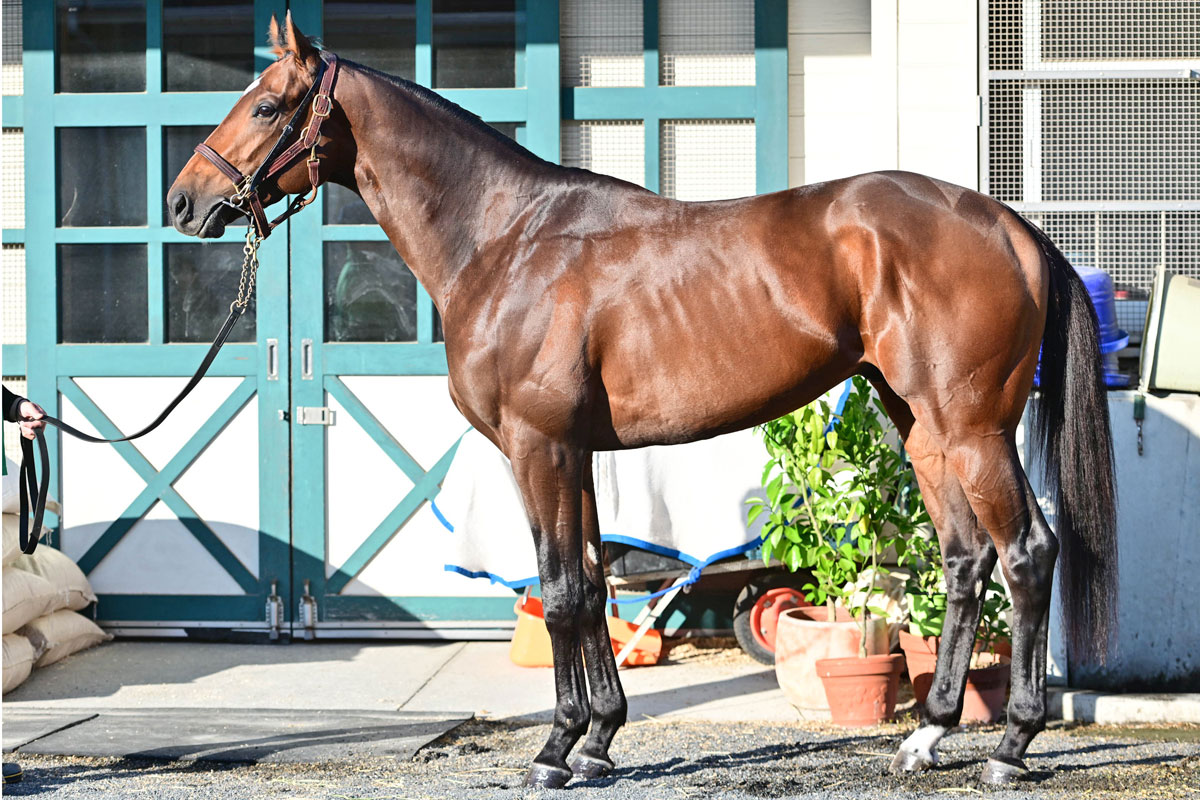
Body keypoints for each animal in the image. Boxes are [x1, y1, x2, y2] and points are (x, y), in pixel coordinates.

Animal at [167, 13, 1117, 789]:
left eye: (265, 106)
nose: (183, 200)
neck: (505, 240)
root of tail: (1009, 225)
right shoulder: (575, 452)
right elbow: (590, 582)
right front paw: (598, 741)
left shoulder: (539, 446)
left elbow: (561, 591)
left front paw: (555, 750)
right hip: (921, 429)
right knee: (965, 561)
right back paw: (927, 737)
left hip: (972, 428)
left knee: (1027, 554)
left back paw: (1009, 747)